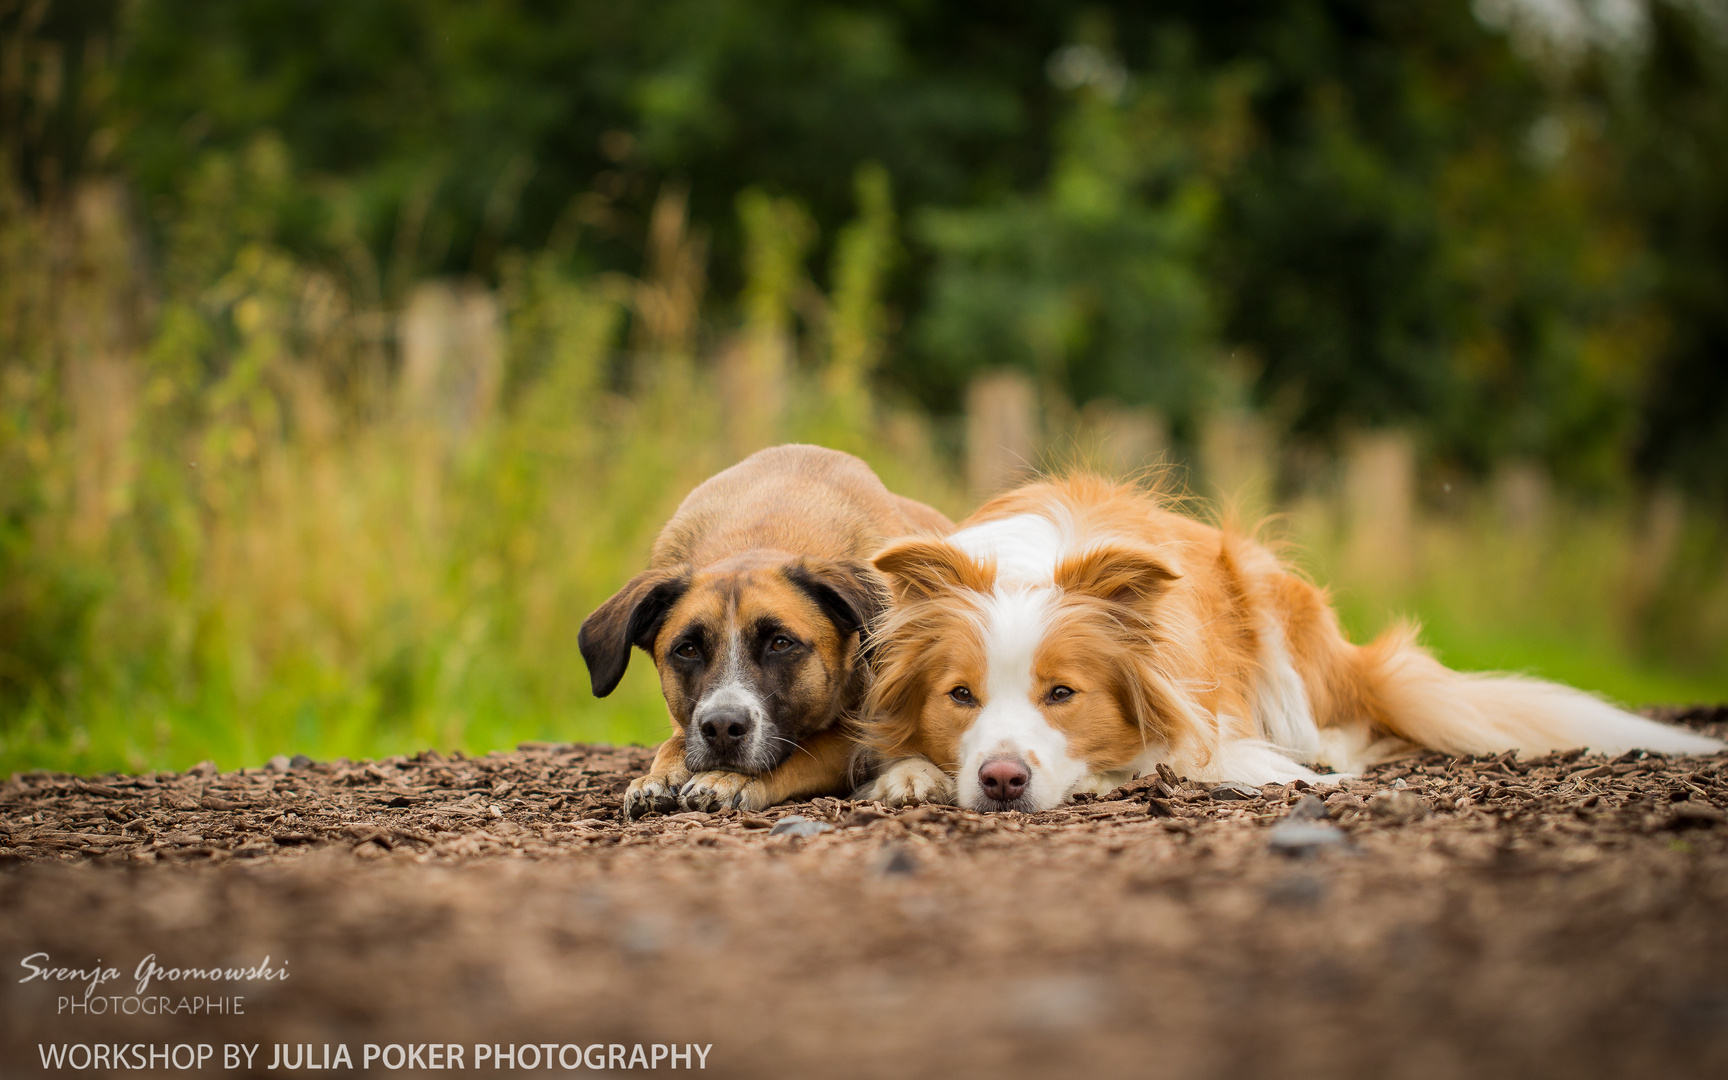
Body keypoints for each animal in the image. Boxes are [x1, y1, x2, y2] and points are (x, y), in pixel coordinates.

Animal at [580, 442, 960, 812]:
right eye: (686, 650)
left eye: (780, 643)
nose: (721, 727)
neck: (761, 535)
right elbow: (675, 742)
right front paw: (658, 776)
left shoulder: (854, 733)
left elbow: (801, 754)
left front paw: (729, 778)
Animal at [857, 470, 1721, 808]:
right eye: (960, 696)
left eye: (1061, 694)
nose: (1001, 780)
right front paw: (910, 775)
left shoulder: (1213, 724)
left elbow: (1173, 755)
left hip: (1270, 592)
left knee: (1344, 725)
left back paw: (1330, 750)